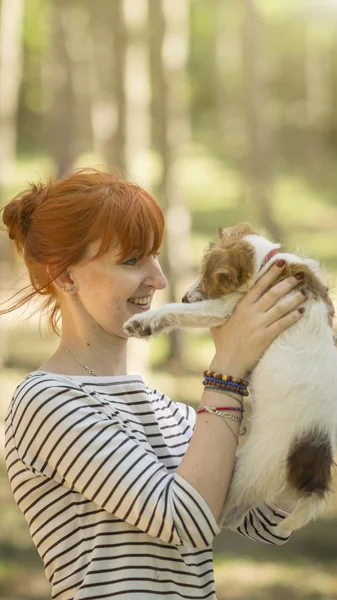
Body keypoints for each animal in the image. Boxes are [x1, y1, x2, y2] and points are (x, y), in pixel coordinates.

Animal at [123, 223, 336, 532]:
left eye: (210, 279)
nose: (185, 295)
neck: (266, 265)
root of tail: (313, 476)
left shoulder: (223, 309)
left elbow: (178, 311)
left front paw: (144, 322)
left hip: (245, 473)